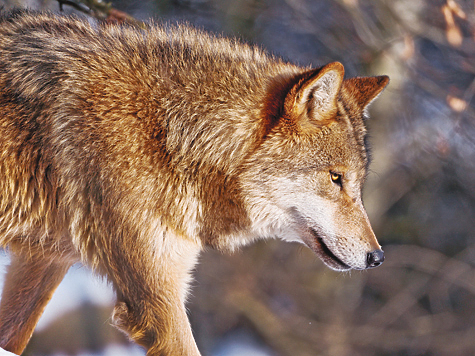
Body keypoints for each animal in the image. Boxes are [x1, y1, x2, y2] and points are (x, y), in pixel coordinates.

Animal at [0, 8, 388, 356]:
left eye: (357, 183)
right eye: (336, 178)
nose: (378, 257)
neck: (171, 136)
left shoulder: (46, 258)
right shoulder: (156, 300)